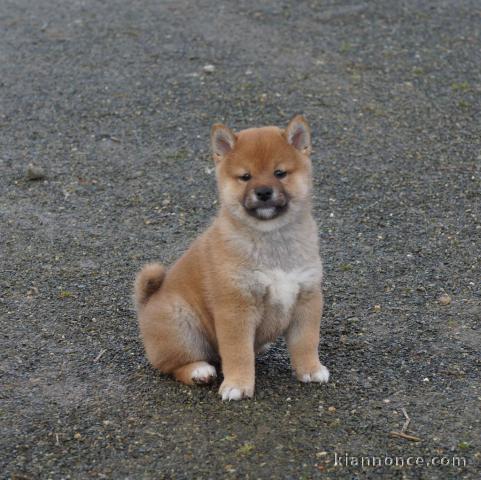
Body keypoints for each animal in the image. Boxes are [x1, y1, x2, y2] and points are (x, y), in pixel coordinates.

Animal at [133, 114, 328, 400]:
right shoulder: (236, 306)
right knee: (174, 365)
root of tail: (147, 303)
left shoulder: (307, 298)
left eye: (280, 173)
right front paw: (237, 384)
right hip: (181, 323)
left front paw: (311, 370)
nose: (264, 192)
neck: (271, 239)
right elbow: (237, 352)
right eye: (245, 177)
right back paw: (199, 371)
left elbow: (306, 342)